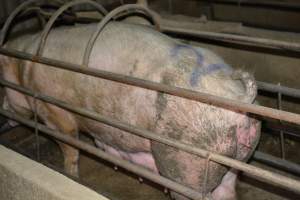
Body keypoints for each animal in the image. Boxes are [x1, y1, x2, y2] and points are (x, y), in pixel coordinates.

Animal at [0, 20, 258, 200]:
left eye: (2, 87)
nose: (4, 114)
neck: (22, 69)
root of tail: (237, 96)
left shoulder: (53, 111)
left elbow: (70, 148)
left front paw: (70, 175)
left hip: (187, 162)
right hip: (233, 158)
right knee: (228, 189)